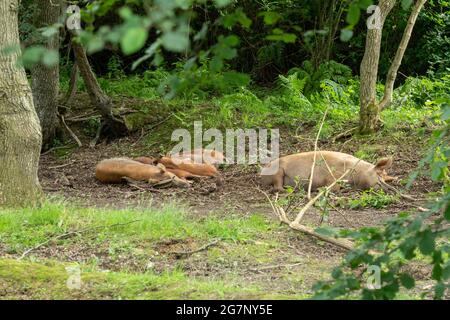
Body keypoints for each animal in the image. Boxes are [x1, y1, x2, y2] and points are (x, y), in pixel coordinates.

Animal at [260, 151, 394, 192]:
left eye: (386, 177)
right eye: (378, 174)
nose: (391, 188)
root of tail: (261, 172)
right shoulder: (332, 176)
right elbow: (334, 187)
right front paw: (321, 189)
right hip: (278, 171)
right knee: (277, 187)